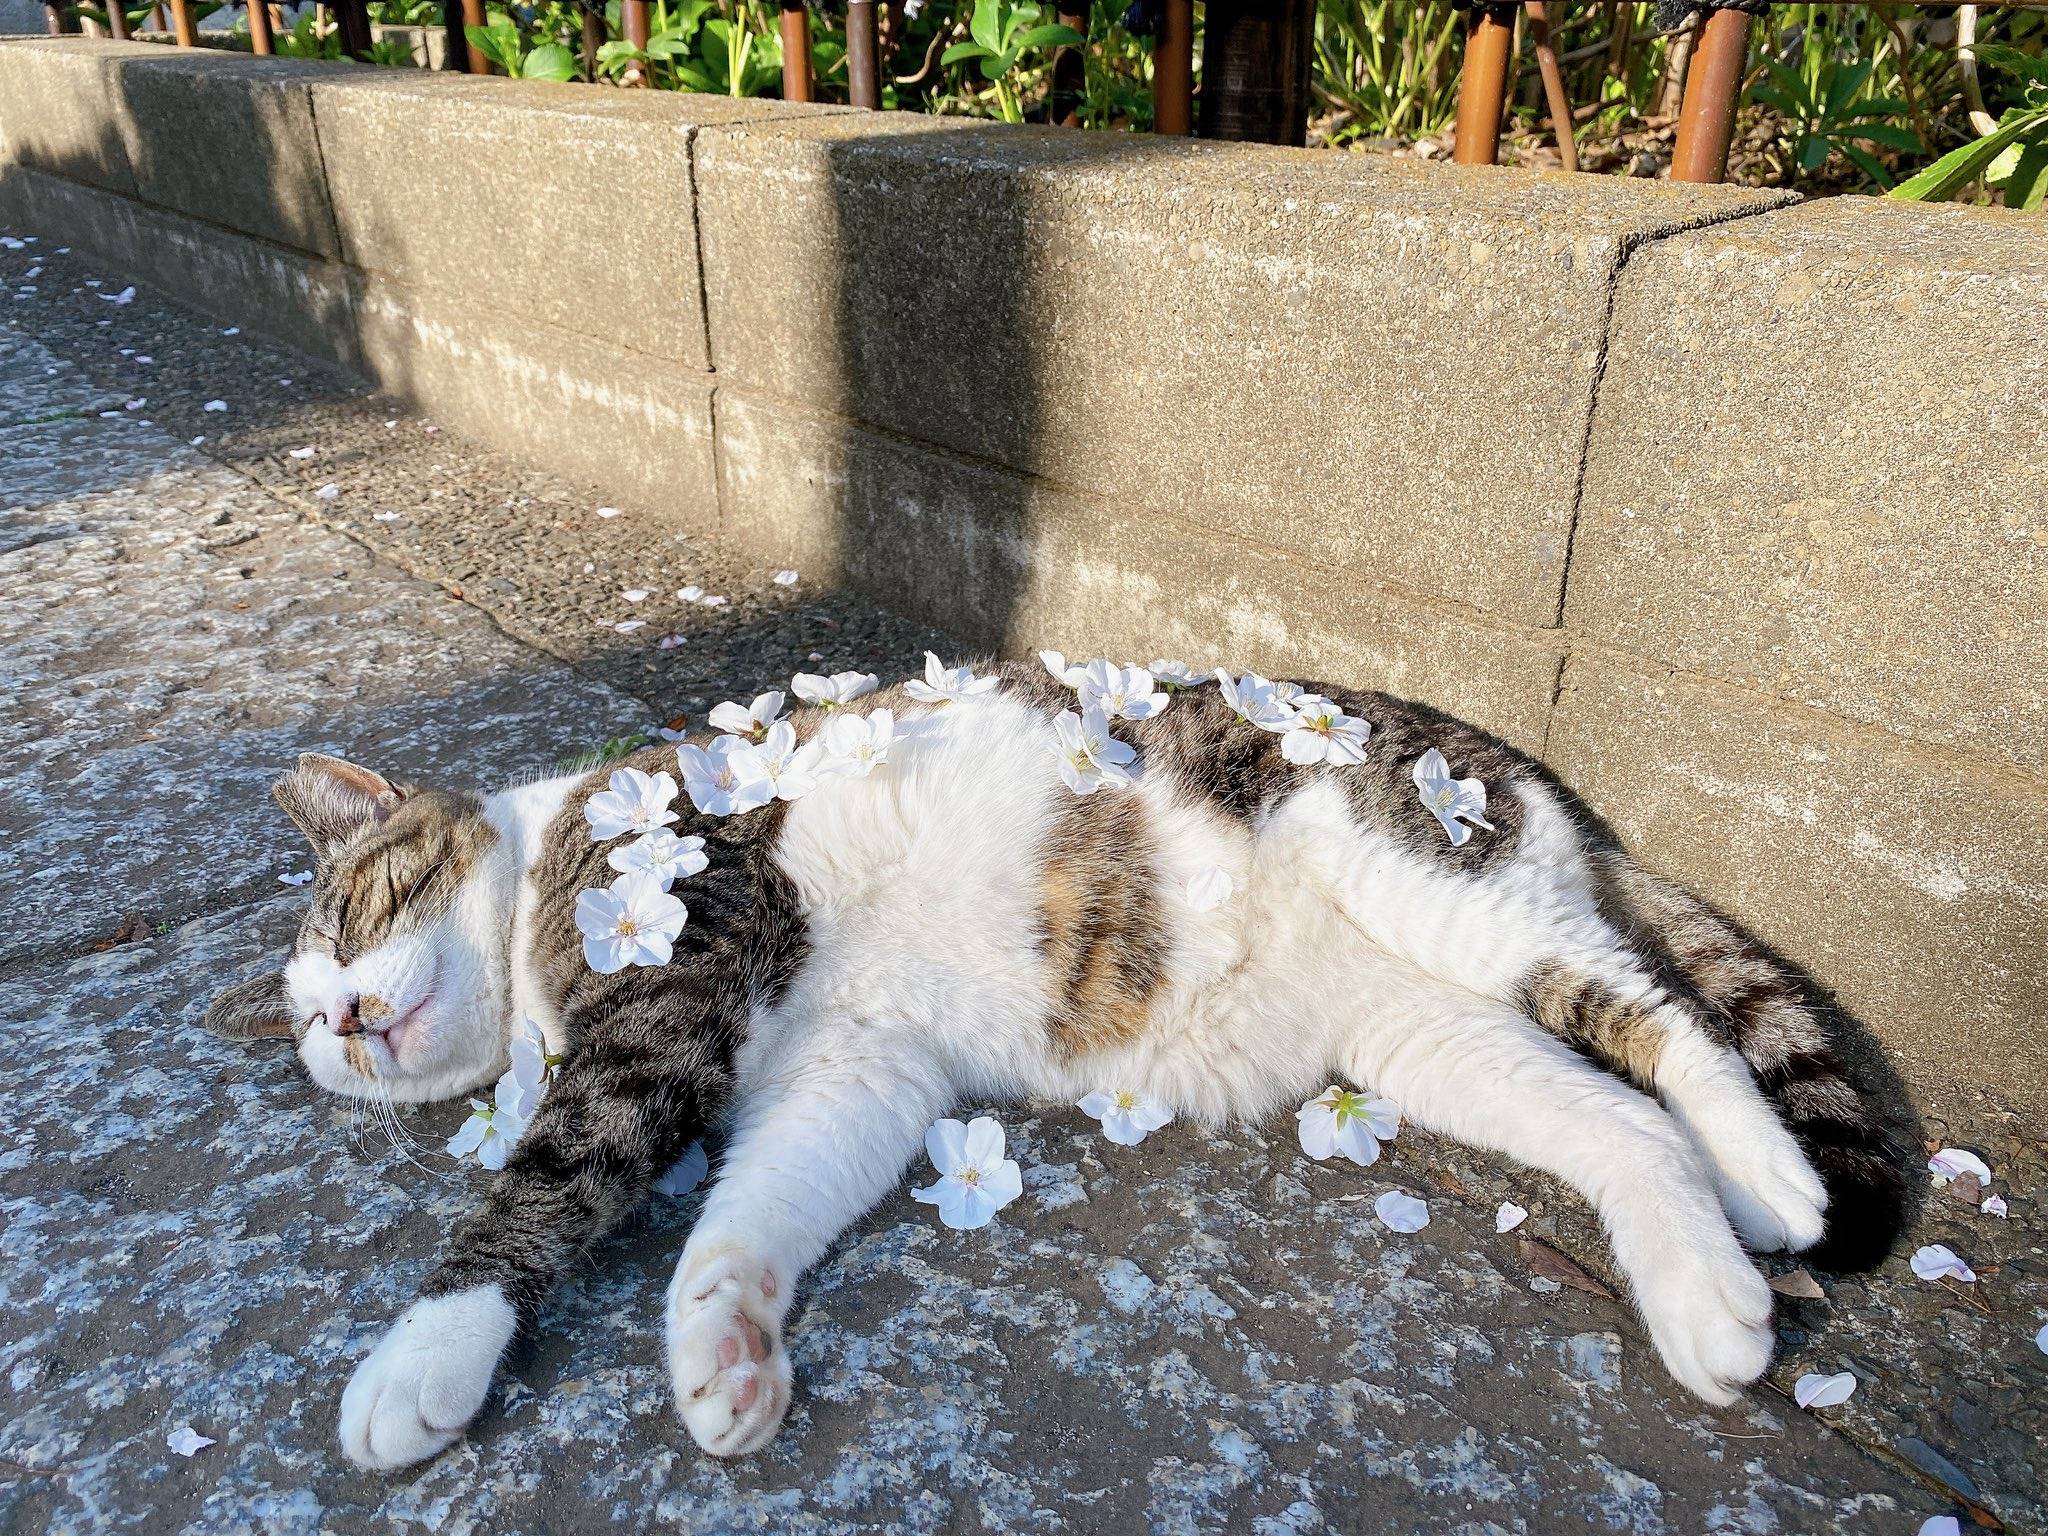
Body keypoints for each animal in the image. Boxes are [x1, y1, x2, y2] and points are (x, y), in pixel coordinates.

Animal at [207, 655, 1900, 1474]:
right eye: (312, 1032)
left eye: (357, 907)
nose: (342, 1021)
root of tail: (1543, 787)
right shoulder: (855, 1072)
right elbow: (744, 1218)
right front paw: (725, 1348)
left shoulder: (668, 983)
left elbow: (546, 1185)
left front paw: (421, 1358)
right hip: (1428, 1035)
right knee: (1623, 1120)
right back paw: (1710, 1285)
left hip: (1432, 875)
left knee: (1662, 1011)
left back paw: (1773, 1176)